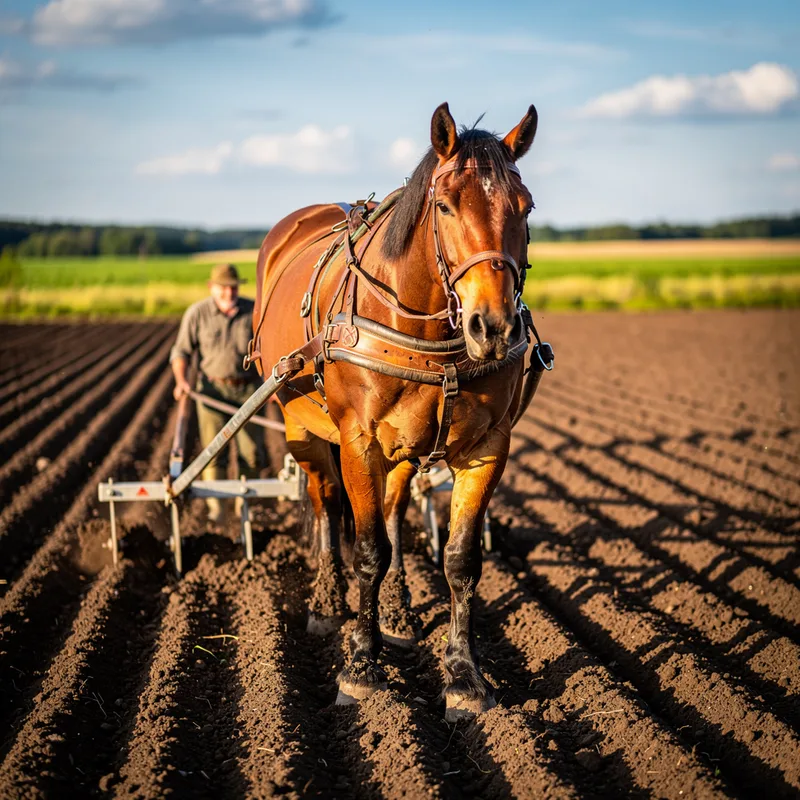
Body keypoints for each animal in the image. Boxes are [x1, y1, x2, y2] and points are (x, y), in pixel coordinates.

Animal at [250, 102, 540, 720]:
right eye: (446, 204)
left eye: (525, 206)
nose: (494, 327)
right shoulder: (358, 440)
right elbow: (366, 551)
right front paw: (361, 665)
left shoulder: (488, 446)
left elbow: (459, 559)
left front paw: (463, 675)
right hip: (300, 423)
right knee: (326, 501)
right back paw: (326, 602)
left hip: (405, 447)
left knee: (393, 509)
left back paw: (401, 611)